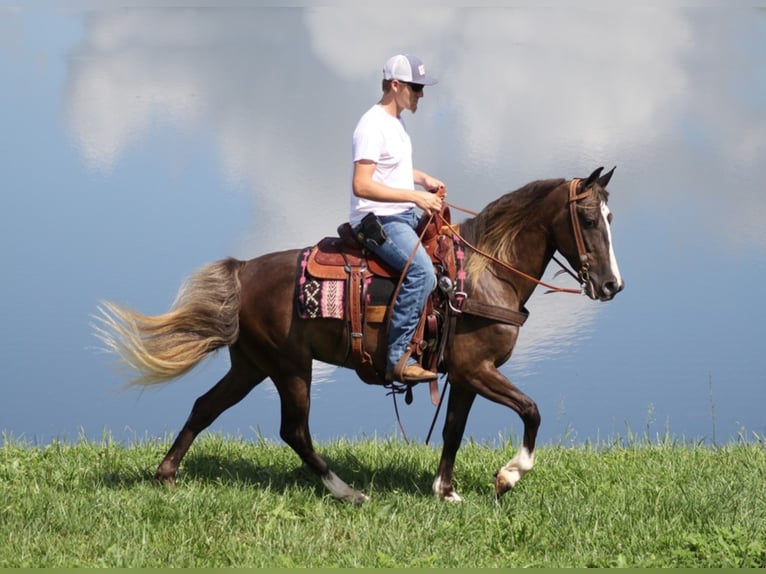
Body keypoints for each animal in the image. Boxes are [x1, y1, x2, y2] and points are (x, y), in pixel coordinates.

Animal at [96, 166, 624, 504]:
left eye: (611, 218)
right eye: (589, 219)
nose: (612, 285)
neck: (484, 273)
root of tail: (244, 270)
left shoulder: (464, 375)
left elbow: (453, 430)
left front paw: (446, 491)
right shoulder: (478, 368)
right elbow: (531, 411)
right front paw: (509, 476)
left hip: (251, 364)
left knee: (206, 407)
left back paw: (166, 475)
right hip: (290, 367)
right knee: (294, 431)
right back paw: (346, 491)